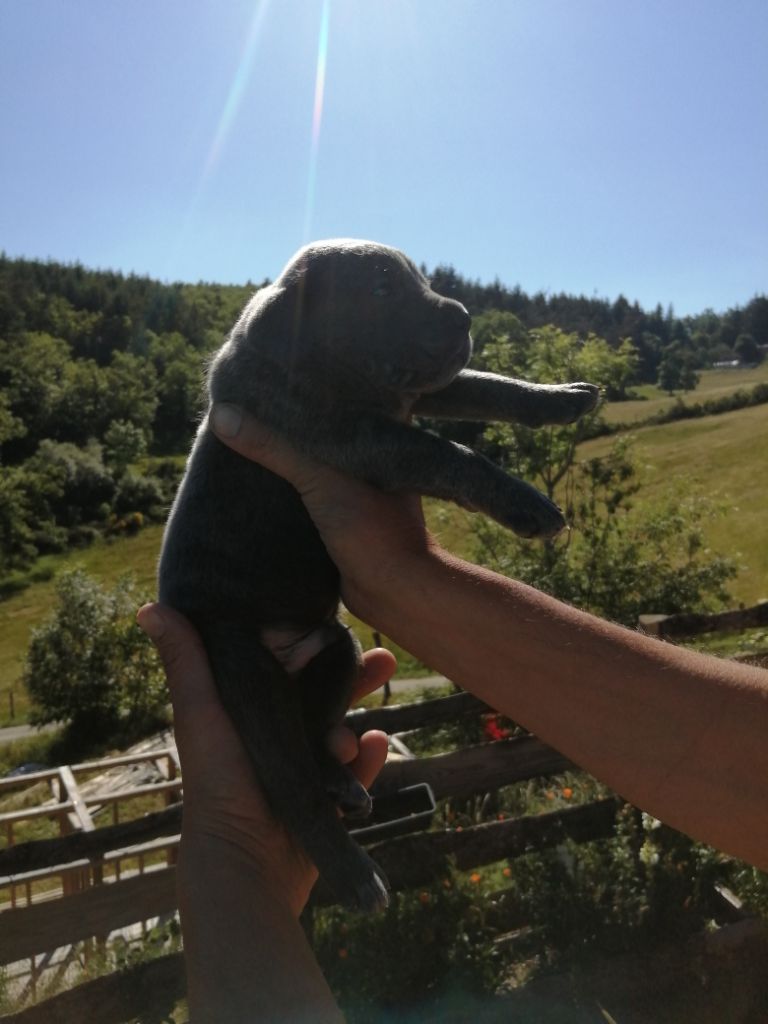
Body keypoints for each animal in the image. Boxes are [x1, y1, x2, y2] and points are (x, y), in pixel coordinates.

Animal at [157, 239, 602, 913]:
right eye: (382, 289)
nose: (464, 315)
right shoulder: (363, 440)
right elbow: (449, 453)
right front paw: (526, 503)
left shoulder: (417, 394)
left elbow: (488, 386)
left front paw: (563, 396)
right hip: (245, 674)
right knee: (291, 787)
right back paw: (354, 875)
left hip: (334, 650)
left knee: (315, 735)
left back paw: (342, 782)